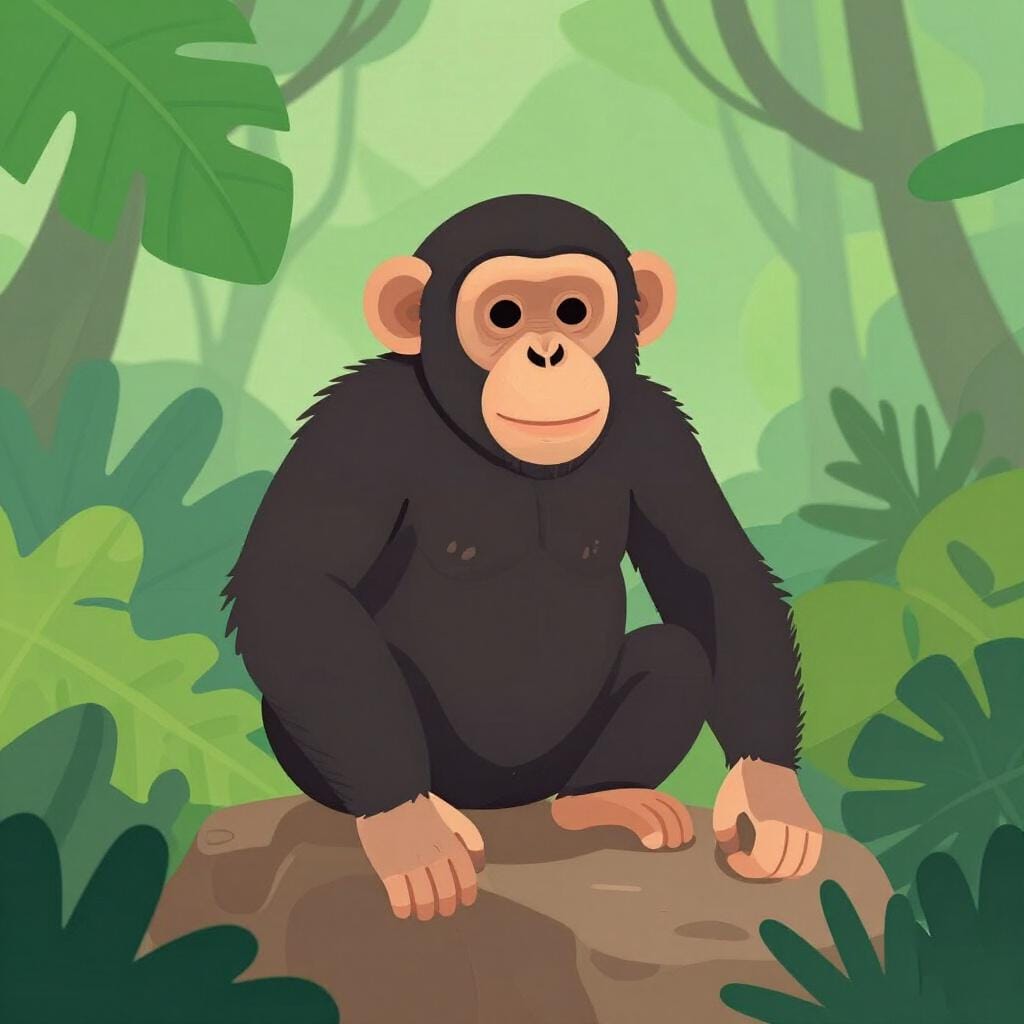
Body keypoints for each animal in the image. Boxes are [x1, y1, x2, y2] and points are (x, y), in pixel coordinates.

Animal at [224, 195, 823, 922]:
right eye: (504, 314)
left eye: (573, 309)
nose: (547, 352)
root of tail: (506, 801)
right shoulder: (358, 421)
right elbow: (296, 583)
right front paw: (408, 833)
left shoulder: (659, 430)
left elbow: (716, 573)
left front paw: (769, 797)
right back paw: (429, 807)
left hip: (557, 765)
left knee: (676, 656)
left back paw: (603, 799)